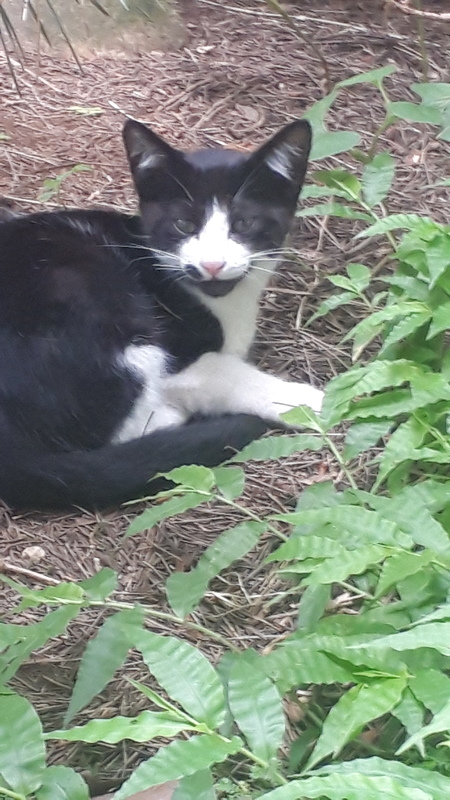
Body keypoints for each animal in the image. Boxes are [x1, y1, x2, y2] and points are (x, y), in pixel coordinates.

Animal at [0, 118, 323, 510]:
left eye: (244, 224)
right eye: (184, 224)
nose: (212, 264)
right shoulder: (181, 355)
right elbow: (224, 372)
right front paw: (308, 401)